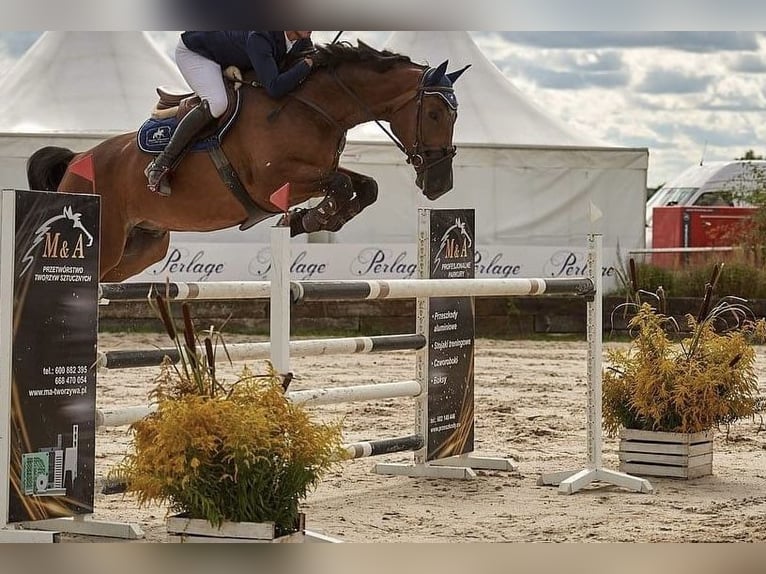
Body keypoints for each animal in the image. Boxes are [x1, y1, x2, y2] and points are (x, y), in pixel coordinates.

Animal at [25, 40, 468, 284]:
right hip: (107, 237)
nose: (440, 185)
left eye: (455, 115)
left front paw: (311, 220)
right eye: (434, 114)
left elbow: (364, 186)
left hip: (143, 246)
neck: (314, 106)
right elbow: (342, 185)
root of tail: (77, 159)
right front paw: (308, 218)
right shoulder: (270, 185)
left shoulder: (317, 169)